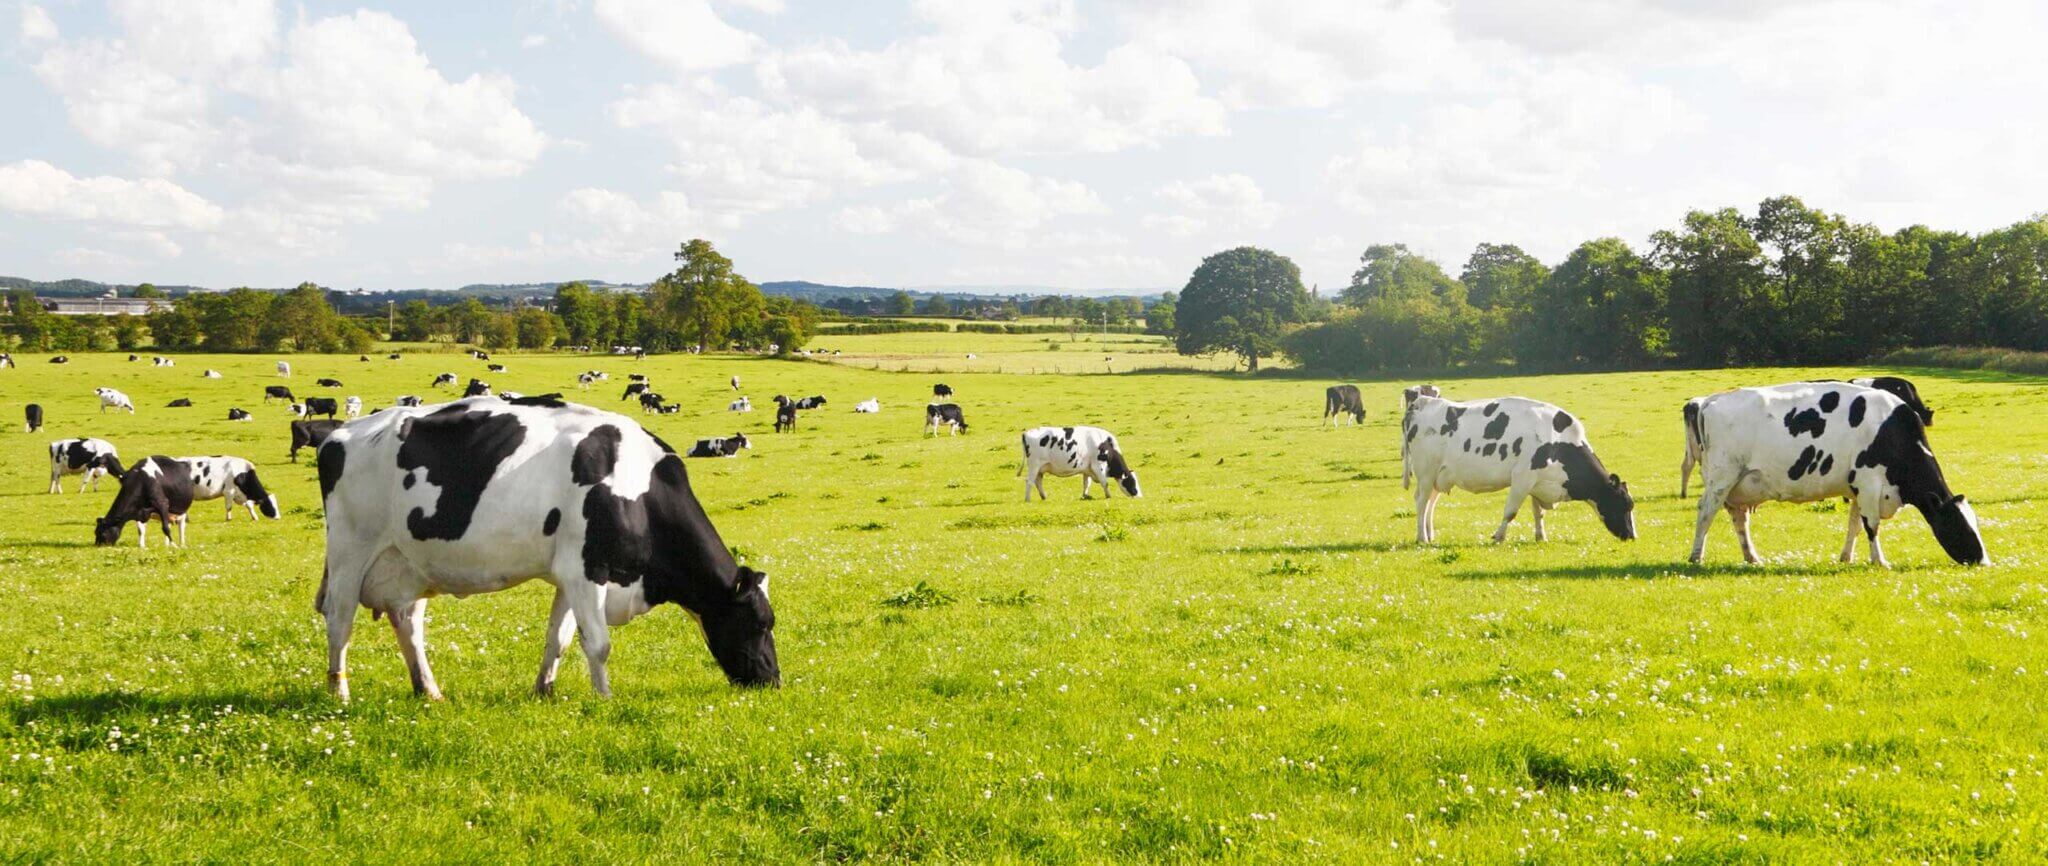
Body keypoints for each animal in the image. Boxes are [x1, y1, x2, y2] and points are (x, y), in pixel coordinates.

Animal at [317, 397, 782, 700]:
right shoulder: (588, 571)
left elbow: (558, 638)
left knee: (408, 622)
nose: (773, 680)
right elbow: (598, 643)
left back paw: (429, 690)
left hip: (408, 563)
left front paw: (545, 690)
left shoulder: (569, 574)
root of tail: (340, 434)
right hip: (349, 553)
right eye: (760, 623)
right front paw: (604, 699)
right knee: (339, 620)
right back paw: (340, 694)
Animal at [1400, 397, 1638, 544]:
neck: (1558, 443)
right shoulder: (1522, 478)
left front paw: (1541, 536)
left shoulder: (1538, 483)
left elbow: (1538, 512)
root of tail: (1422, 402)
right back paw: (1422, 537)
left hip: (1439, 477)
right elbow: (1510, 512)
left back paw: (1430, 535)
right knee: (1421, 502)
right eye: (1624, 505)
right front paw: (1498, 536)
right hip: (1425, 473)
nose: (1632, 536)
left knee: (1430, 504)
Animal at [1679, 382, 1982, 565]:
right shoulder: (1870, 483)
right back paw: (1696, 556)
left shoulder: (1859, 487)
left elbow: (1855, 525)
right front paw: (1880, 561)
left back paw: (1752, 557)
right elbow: (1872, 525)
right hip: (1721, 478)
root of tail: (1710, 400)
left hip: (1739, 485)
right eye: (1960, 524)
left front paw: (1846, 557)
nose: (1983, 560)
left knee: (1739, 519)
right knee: (1705, 512)